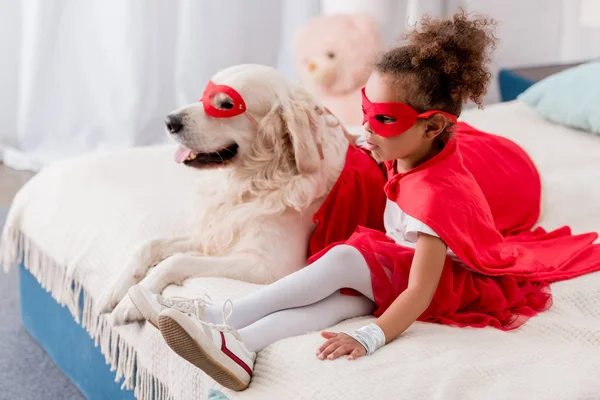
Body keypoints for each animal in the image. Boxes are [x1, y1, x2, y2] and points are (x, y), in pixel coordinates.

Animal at [96, 63, 354, 324]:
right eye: (205, 95)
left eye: (227, 105)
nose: (169, 121)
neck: (255, 182)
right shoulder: (216, 233)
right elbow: (150, 243)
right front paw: (115, 290)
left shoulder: (270, 267)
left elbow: (176, 260)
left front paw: (132, 302)